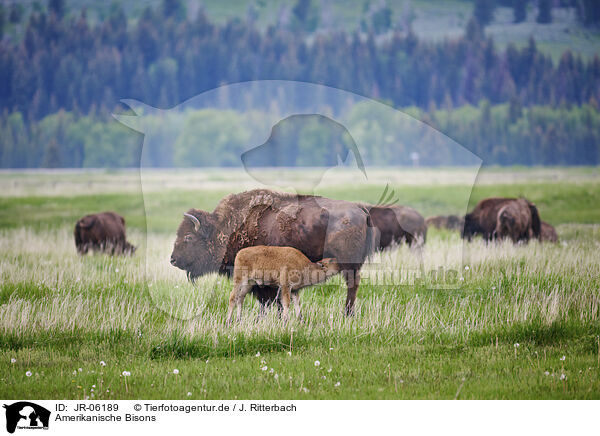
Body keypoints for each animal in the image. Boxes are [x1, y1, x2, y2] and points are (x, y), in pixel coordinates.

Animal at [170, 189, 376, 316]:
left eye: (188, 236)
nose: (173, 260)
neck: (227, 228)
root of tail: (361, 211)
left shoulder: (265, 280)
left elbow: (267, 299)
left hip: (349, 265)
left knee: (352, 286)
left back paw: (347, 314)